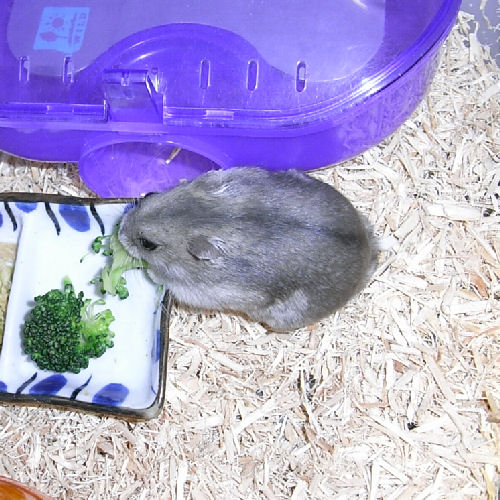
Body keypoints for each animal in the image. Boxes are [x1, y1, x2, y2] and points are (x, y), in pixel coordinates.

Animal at [118, 167, 378, 331]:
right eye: (149, 194)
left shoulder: (197, 290)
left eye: (147, 244)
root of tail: (370, 253)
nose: (119, 232)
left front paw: (151, 272)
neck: (202, 220)